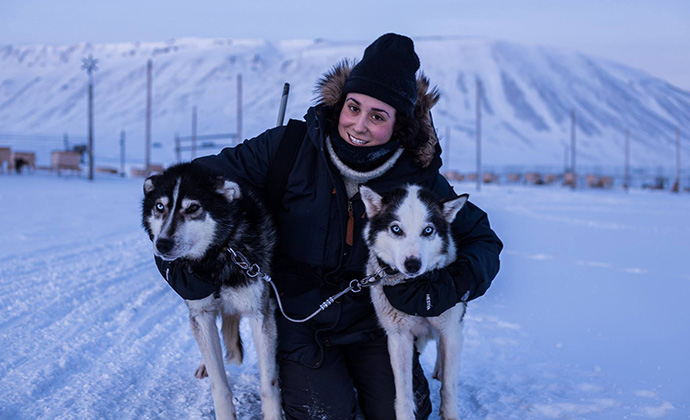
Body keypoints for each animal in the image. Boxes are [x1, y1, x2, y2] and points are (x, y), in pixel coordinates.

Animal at [141, 162, 280, 418]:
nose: (162, 244)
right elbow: (220, 385)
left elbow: (268, 384)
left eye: (193, 208)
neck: (216, 257)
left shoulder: (259, 313)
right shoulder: (201, 314)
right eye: (159, 206)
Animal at [360, 185, 468, 420]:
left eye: (427, 230)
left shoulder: (450, 329)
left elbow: (449, 386)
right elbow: (403, 391)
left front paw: (449, 413)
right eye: (396, 229)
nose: (412, 265)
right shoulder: (398, 337)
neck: (417, 288)